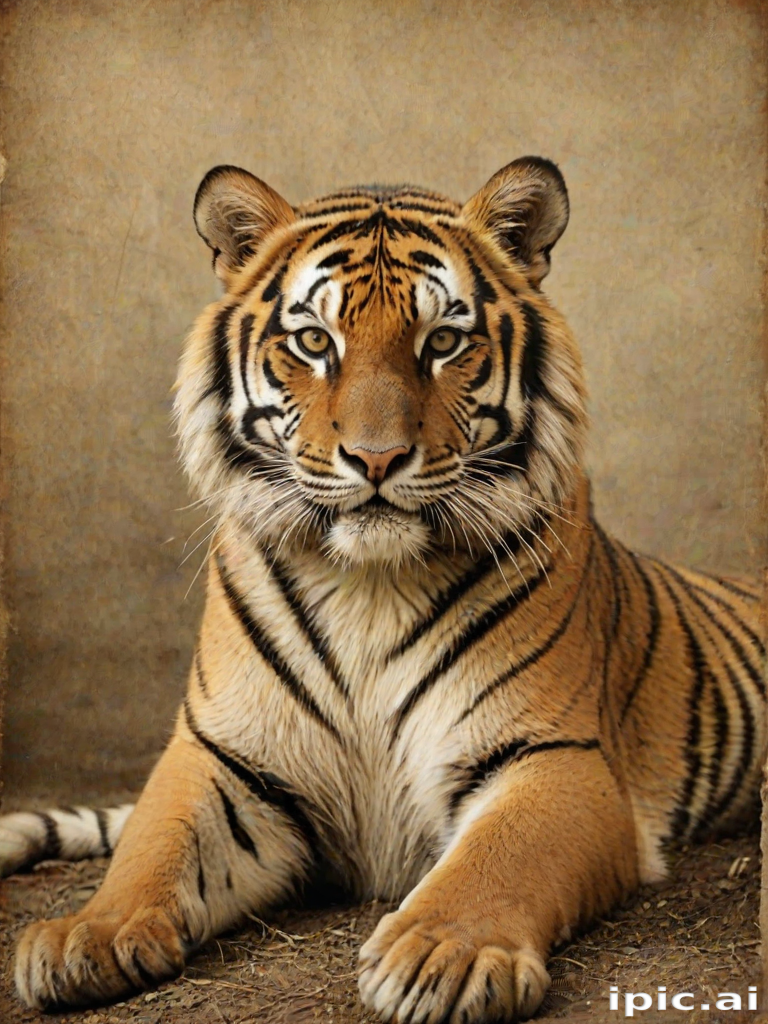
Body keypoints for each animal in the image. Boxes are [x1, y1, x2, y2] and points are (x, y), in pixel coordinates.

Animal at [1, 156, 764, 1024]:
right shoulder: (223, 757)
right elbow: (150, 847)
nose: (376, 459)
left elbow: (497, 858)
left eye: (443, 342)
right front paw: (83, 936)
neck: (367, 584)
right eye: (313, 341)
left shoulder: (554, 756)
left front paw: (444, 956)